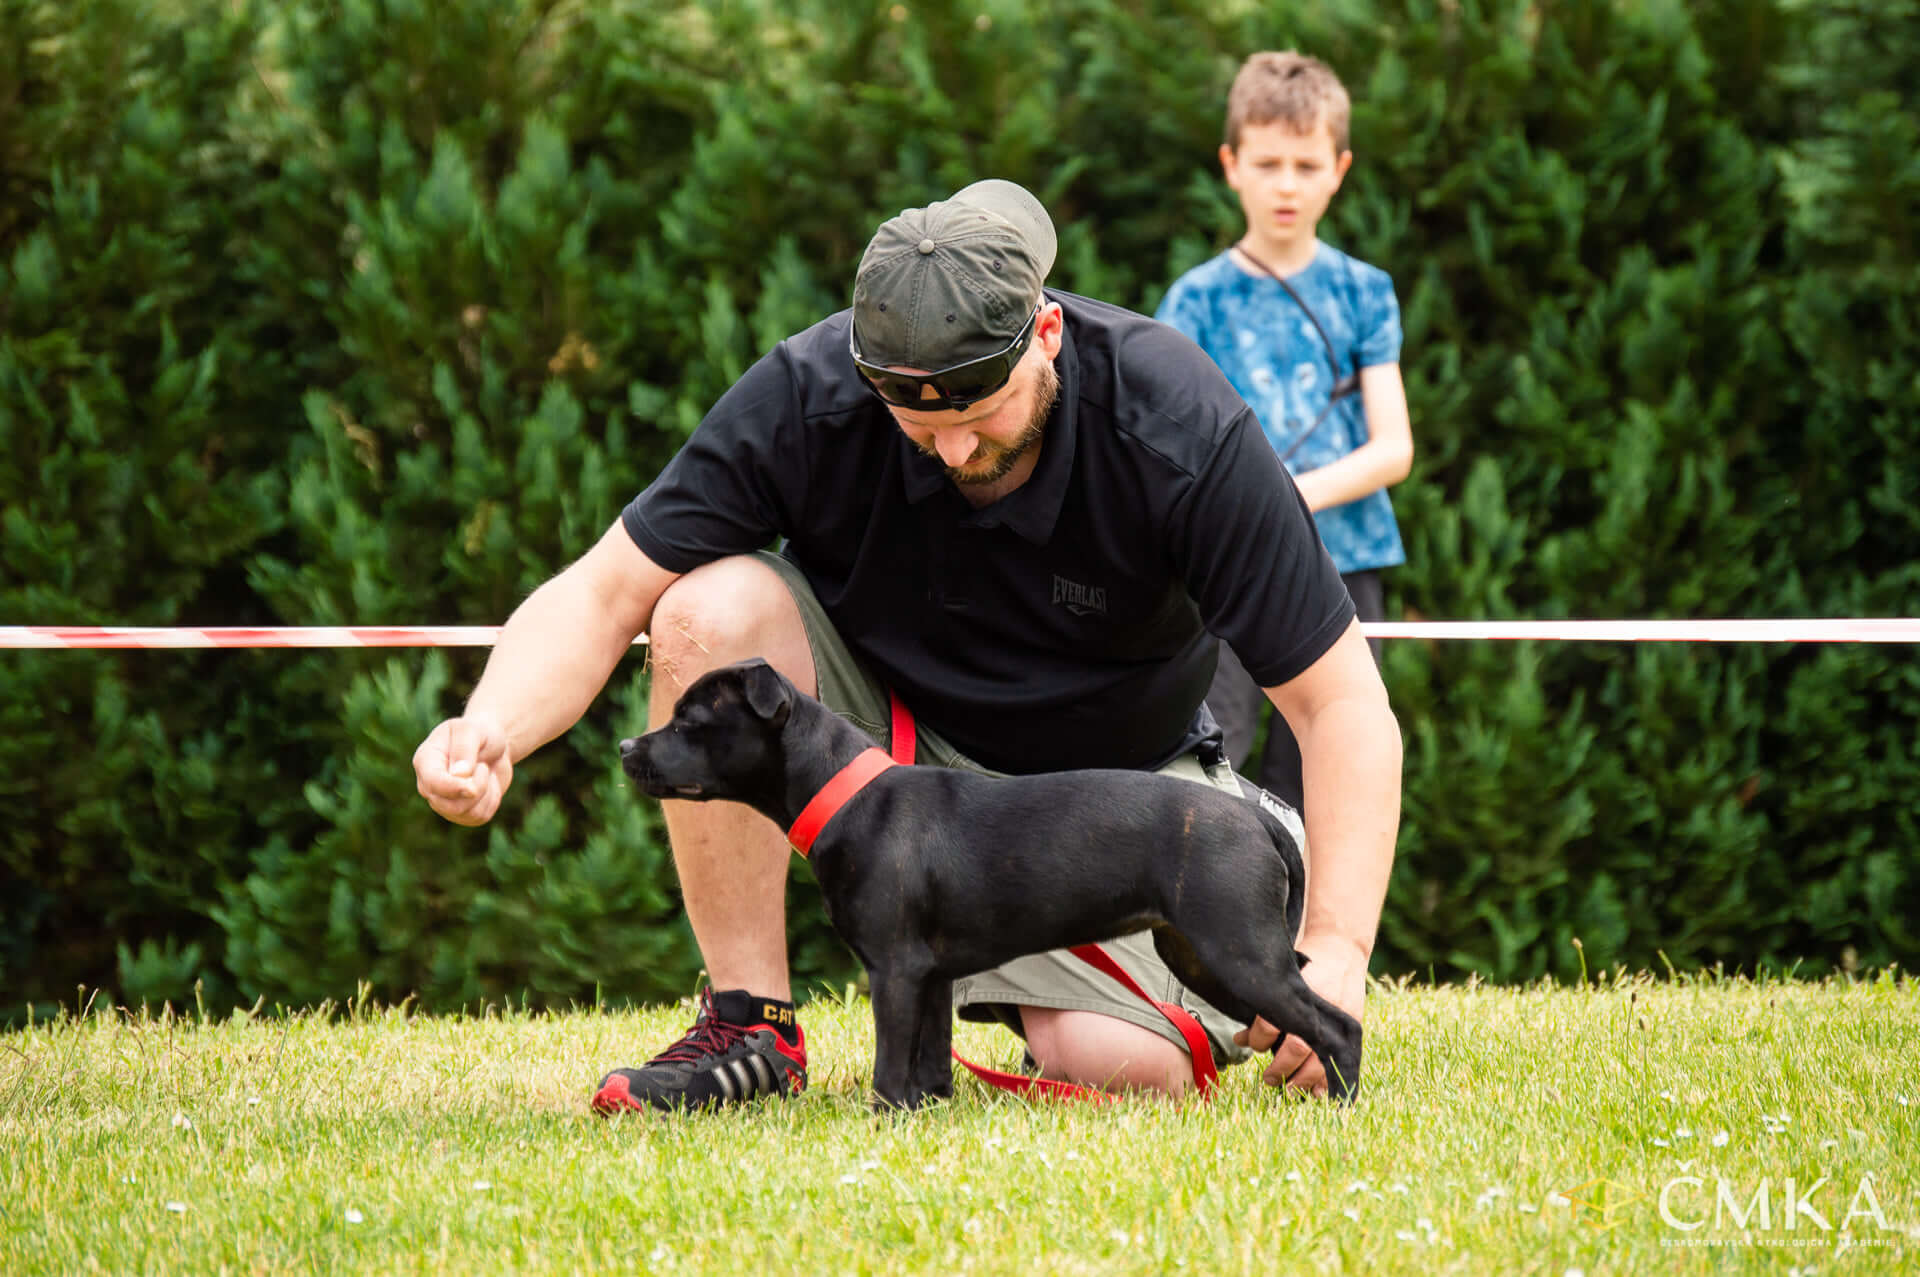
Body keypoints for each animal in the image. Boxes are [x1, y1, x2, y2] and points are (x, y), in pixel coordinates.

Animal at [618, 656, 1367, 1106]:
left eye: (690, 722)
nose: (626, 747)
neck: (845, 792)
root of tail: (1254, 818)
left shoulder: (893, 970)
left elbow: (891, 1060)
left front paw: (881, 1117)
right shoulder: (930, 975)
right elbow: (928, 1059)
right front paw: (923, 1112)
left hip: (1236, 953)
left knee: (1338, 1024)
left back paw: (1341, 1106)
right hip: (1207, 959)